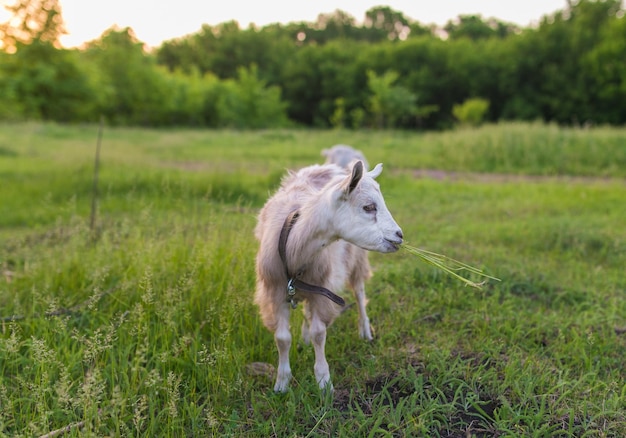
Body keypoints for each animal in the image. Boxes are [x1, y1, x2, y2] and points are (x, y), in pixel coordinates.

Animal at [255, 159, 404, 392]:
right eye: (369, 207)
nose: (399, 235)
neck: (294, 248)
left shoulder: (323, 291)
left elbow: (319, 333)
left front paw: (324, 383)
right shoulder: (275, 292)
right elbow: (282, 338)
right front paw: (282, 383)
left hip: (356, 259)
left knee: (360, 294)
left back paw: (365, 332)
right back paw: (304, 339)